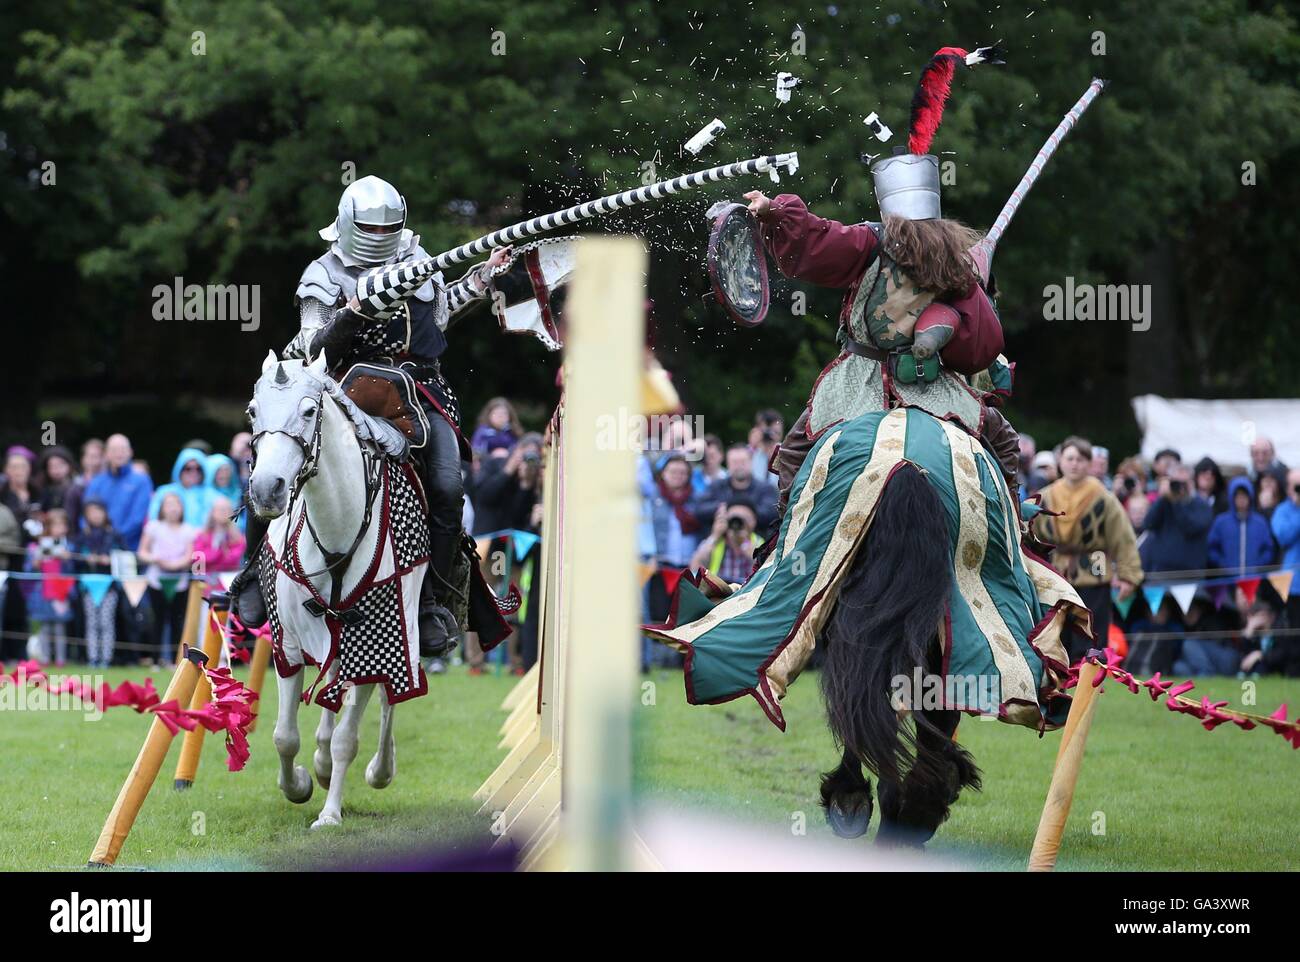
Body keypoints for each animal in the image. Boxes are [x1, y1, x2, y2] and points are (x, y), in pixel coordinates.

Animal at [244, 348, 426, 832]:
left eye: (309, 412)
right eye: (253, 411)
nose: (267, 489)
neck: (336, 528)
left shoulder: (375, 642)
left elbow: (349, 736)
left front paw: (329, 813)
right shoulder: (289, 643)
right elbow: (284, 736)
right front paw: (299, 784)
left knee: (388, 701)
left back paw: (379, 769)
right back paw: (322, 764)